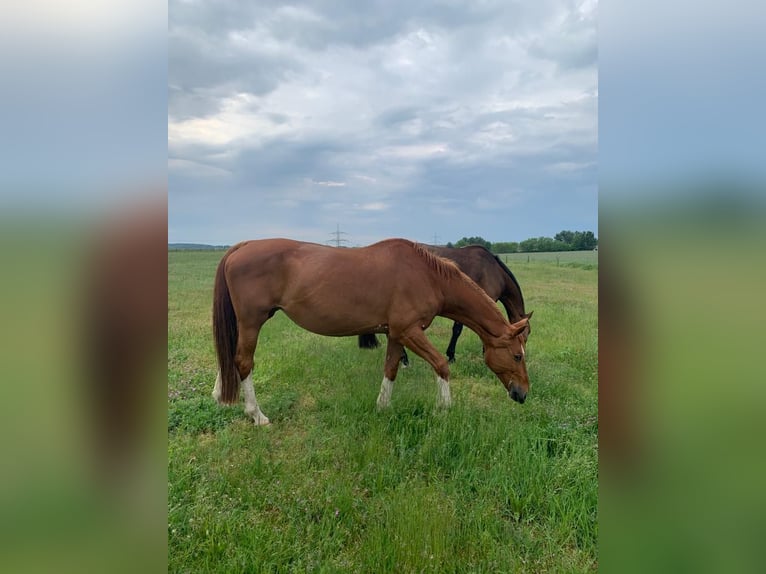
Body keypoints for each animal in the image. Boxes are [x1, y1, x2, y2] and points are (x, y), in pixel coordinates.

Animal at [358, 244, 528, 364]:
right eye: (526, 334)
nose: (523, 354)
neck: (494, 270)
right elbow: (460, 330)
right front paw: (453, 356)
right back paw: (404, 359)